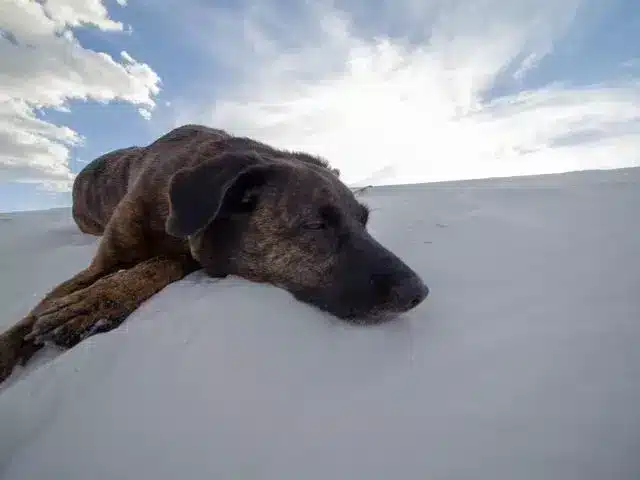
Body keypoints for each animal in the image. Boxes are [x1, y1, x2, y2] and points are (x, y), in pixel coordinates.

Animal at [1, 124, 430, 382]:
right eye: (316, 225)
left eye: (364, 221)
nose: (419, 292)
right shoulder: (107, 259)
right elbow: (28, 319)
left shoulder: (184, 255)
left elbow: (157, 266)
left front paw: (93, 304)